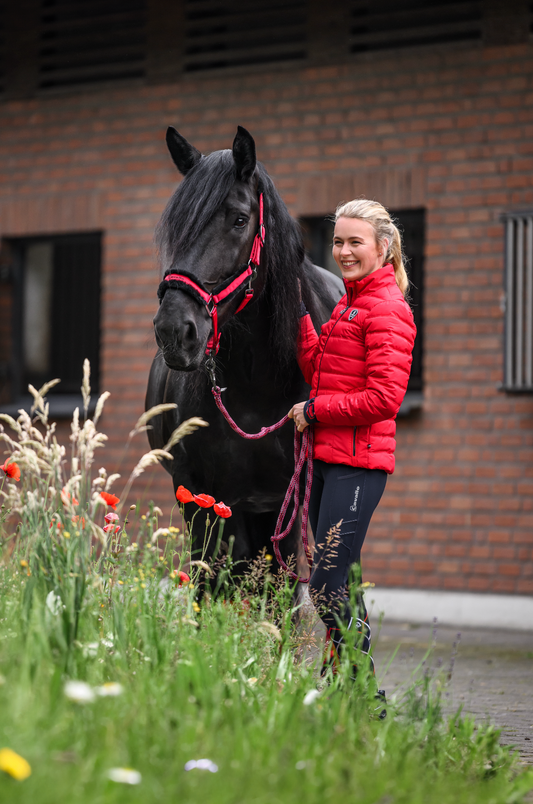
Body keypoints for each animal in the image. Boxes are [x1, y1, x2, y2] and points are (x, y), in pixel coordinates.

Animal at [146, 125, 343, 577]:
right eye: (176, 225)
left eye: (239, 219)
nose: (173, 330)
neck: (259, 383)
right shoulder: (200, 498)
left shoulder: (292, 500)